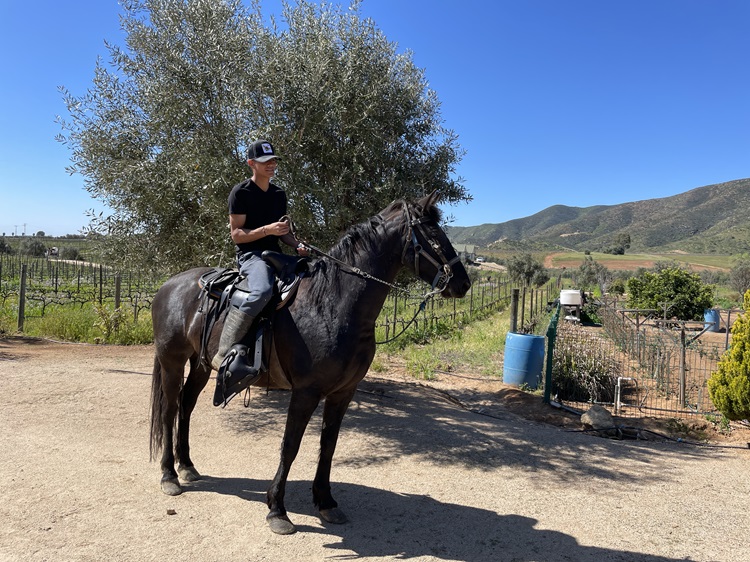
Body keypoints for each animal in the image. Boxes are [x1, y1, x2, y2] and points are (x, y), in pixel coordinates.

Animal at [150, 191, 472, 528]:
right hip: (172, 361)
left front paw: (326, 501)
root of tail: (168, 285)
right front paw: (277, 508)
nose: (463, 284)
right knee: (169, 409)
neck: (331, 303)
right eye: (433, 234)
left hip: (200, 364)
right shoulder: (306, 392)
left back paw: (187, 466)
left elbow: (328, 445)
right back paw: (169, 475)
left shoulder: (343, 393)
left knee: (186, 405)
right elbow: (290, 445)